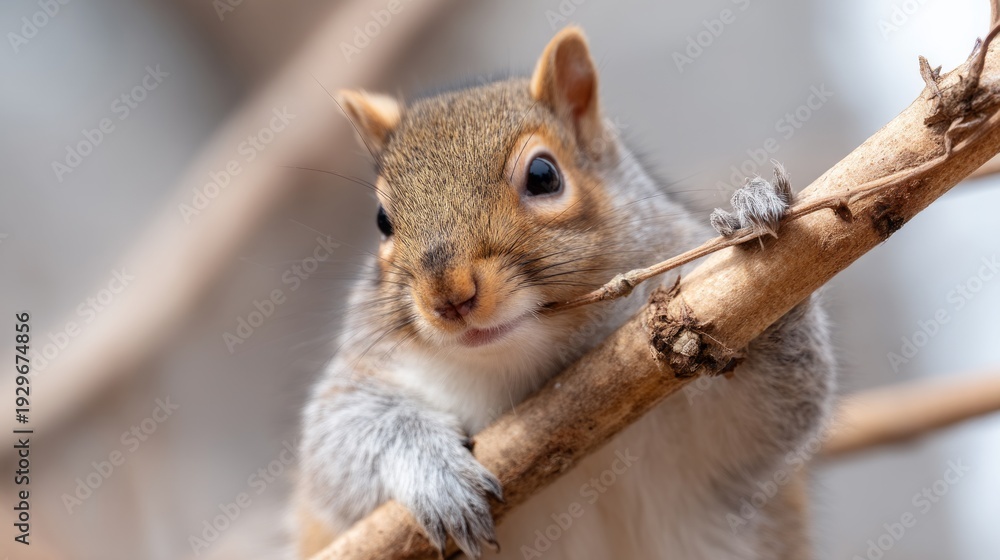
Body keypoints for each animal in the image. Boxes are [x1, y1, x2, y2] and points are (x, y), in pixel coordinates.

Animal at [293, 26, 835, 560]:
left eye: (543, 175)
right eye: (382, 220)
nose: (448, 296)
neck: (519, 369)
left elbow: (777, 411)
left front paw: (751, 220)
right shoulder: (363, 380)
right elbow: (337, 448)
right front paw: (434, 470)